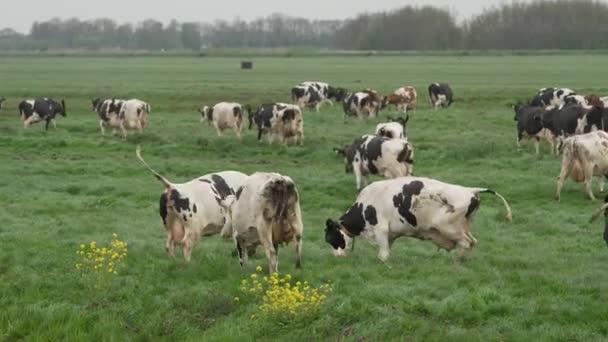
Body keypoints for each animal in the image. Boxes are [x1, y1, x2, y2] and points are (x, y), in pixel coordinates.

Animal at [324, 178, 512, 260]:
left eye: (330, 238)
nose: (336, 257)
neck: (364, 207)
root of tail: (470, 190)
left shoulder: (381, 230)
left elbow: (383, 253)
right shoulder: (390, 234)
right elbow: (387, 250)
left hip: (449, 227)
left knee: (466, 243)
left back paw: (457, 262)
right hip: (464, 226)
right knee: (473, 242)